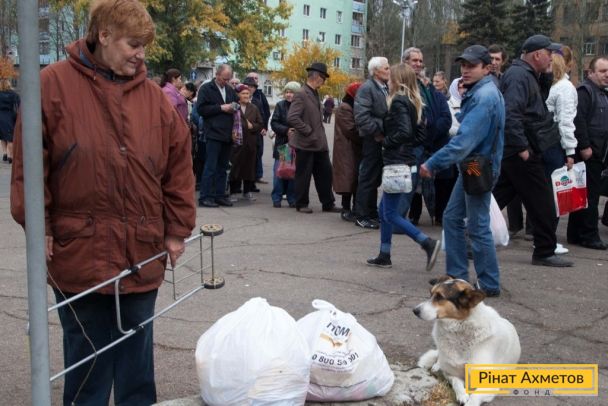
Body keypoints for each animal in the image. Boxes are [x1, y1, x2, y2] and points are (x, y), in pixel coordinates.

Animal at [413, 276, 520, 406]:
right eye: (430, 294)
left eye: (440, 297)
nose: (414, 310)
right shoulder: (451, 374)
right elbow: (457, 383)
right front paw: (462, 395)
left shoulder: (490, 383)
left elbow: (474, 396)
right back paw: (437, 365)